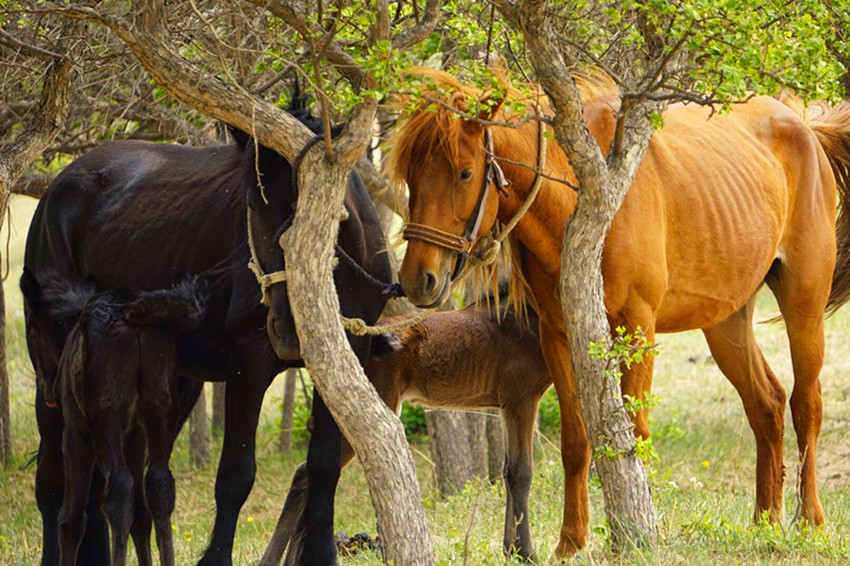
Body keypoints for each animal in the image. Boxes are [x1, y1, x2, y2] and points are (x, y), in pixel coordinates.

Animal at [21, 100, 390, 564]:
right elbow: (235, 474)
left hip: (163, 392)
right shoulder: (248, 368)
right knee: (54, 490)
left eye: (322, 214)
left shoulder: (345, 357)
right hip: (55, 384)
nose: (289, 328)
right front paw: (216, 556)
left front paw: (321, 554)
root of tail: (59, 185)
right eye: (252, 204)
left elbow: (323, 465)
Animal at [388, 67, 848, 560]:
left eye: (465, 172)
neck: (578, 197)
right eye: (410, 176)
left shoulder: (637, 328)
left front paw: (641, 529)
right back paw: (766, 521)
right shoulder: (559, 334)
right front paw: (571, 540)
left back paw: (809, 519)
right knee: (766, 403)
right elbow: (576, 441)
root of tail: (806, 127)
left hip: (803, 303)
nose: (417, 279)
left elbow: (635, 433)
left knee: (806, 405)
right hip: (726, 321)